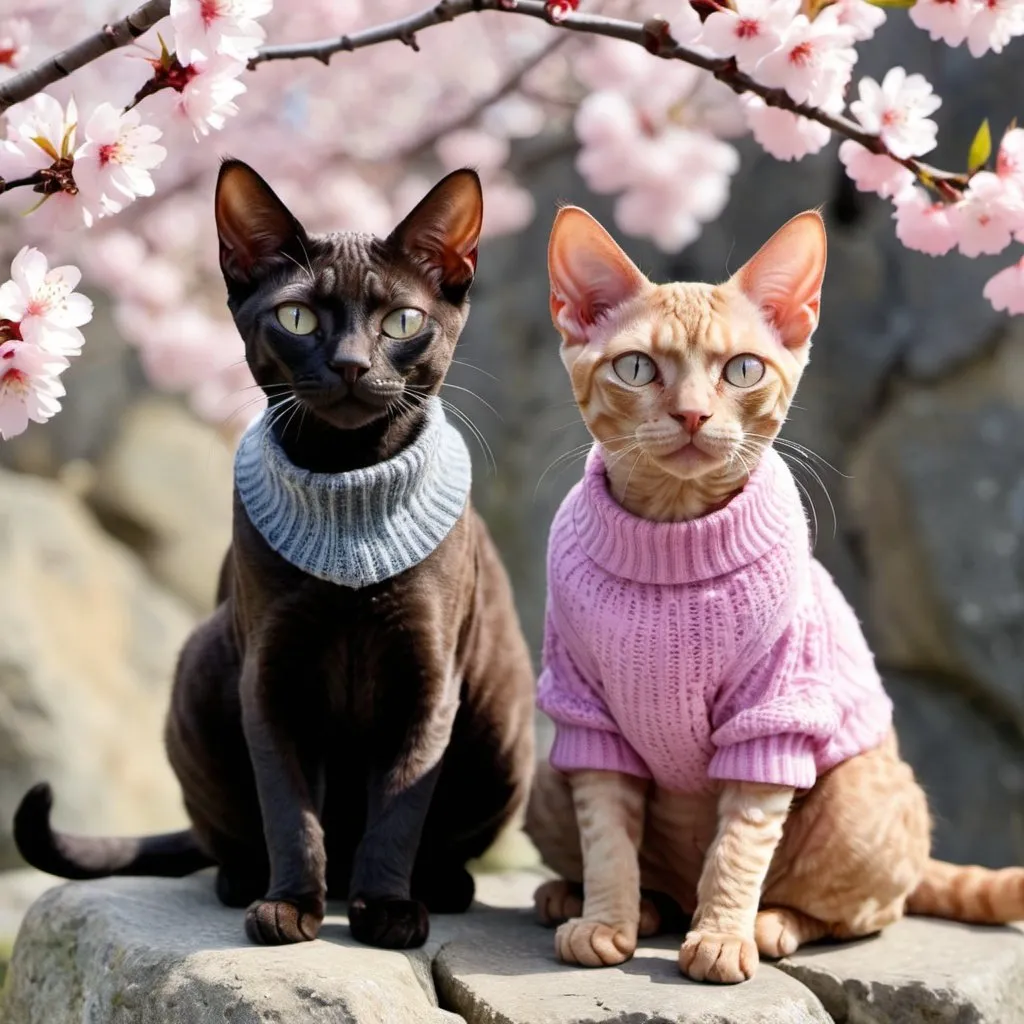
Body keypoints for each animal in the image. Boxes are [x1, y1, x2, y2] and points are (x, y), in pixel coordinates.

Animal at [14, 157, 536, 950]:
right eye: (298, 319)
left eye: (402, 321)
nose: (350, 363)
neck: (348, 483)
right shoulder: (270, 671)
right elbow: (290, 810)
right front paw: (288, 906)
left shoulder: (428, 677)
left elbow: (399, 804)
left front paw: (387, 911)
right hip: (204, 663)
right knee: (225, 834)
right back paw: (244, 880)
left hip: (502, 718)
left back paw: (439, 887)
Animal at [528, 205, 1024, 983]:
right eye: (637, 367)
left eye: (743, 369)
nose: (693, 415)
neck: (675, 538)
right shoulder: (588, 715)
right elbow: (607, 835)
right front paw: (606, 919)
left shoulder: (774, 715)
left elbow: (740, 845)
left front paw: (722, 936)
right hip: (548, 774)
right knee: (651, 877)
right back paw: (598, 901)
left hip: (855, 794)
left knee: (870, 908)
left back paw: (770, 925)